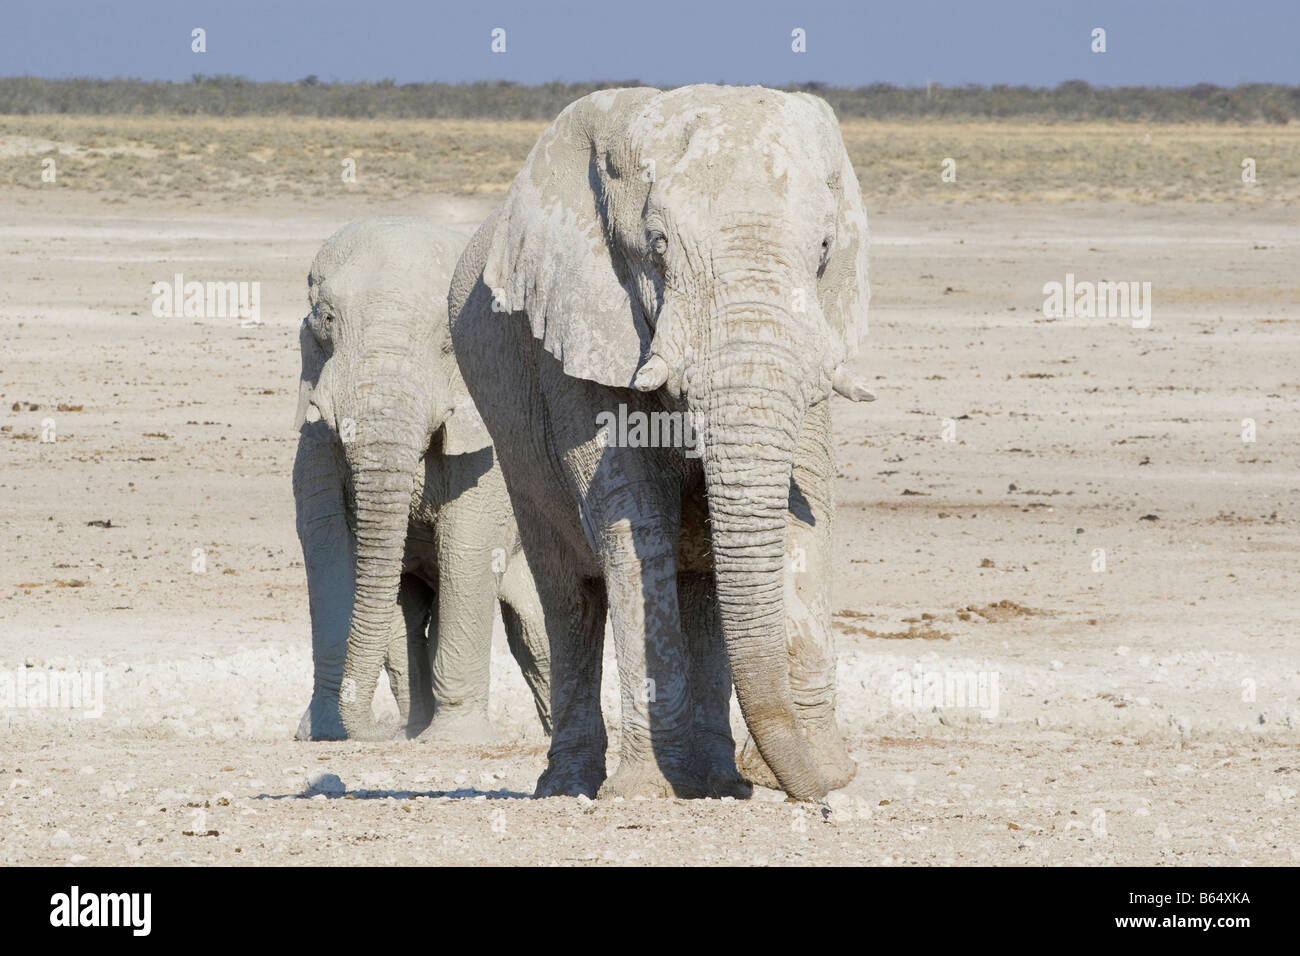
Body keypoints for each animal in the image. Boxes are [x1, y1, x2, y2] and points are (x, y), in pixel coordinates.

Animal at [295, 214, 553, 738]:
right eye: (326, 321)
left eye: (450, 342)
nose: (378, 734)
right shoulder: (313, 435)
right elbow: (327, 543)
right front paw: (322, 734)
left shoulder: (490, 444)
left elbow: (468, 543)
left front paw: (455, 740)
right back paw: (412, 728)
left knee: (535, 631)